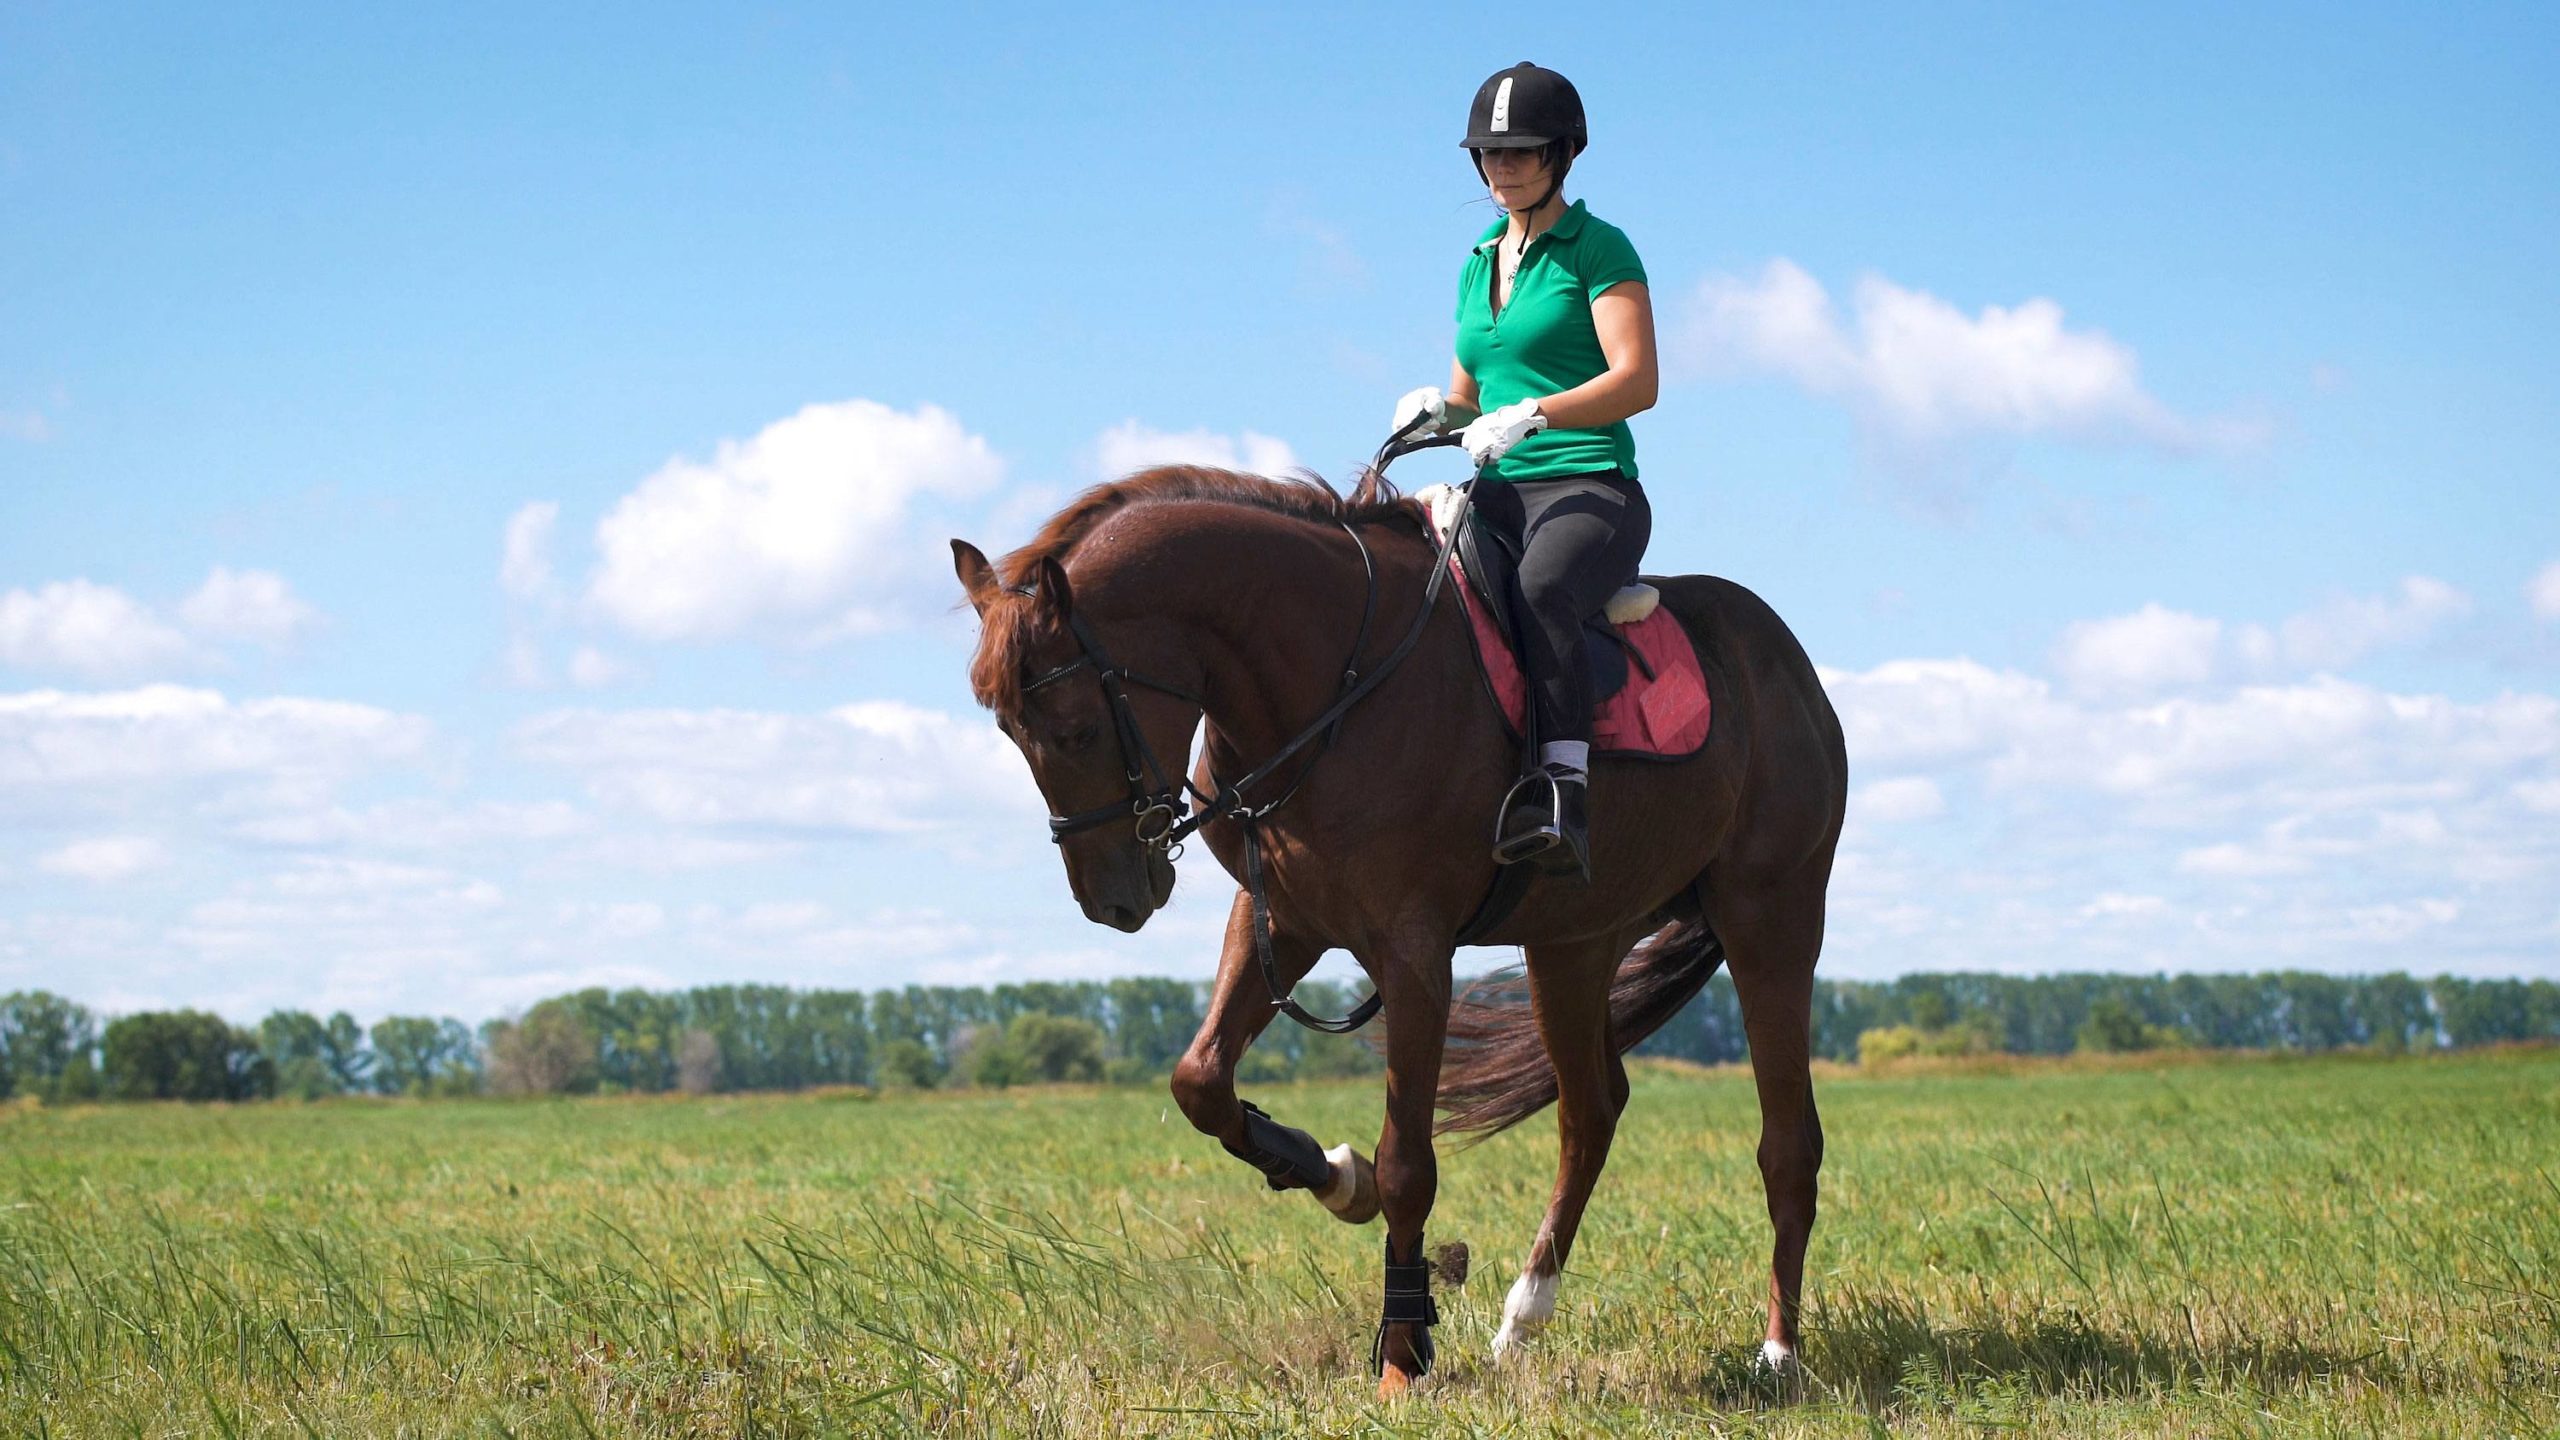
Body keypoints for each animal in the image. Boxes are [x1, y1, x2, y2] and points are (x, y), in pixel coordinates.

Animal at [952, 456, 1853, 1393]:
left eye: (1074, 727)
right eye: (1010, 731)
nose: (1114, 900)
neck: (1329, 686)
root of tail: (1788, 667)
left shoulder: (1413, 953)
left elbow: (1408, 1166)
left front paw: (1401, 1355)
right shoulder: (1284, 919)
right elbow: (1199, 1081)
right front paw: (1325, 1173)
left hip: (1771, 918)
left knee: (1787, 1144)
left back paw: (1778, 1353)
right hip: (1572, 944)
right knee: (1590, 1114)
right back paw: (1523, 1317)